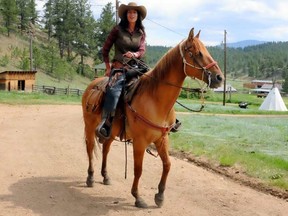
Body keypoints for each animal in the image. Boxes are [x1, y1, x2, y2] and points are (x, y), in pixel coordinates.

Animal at [82, 27, 224, 208]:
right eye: (197, 53)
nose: (219, 78)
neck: (155, 100)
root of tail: (92, 85)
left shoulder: (162, 139)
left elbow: (167, 164)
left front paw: (160, 195)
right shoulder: (140, 142)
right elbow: (138, 169)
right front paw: (138, 197)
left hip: (111, 131)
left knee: (106, 148)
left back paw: (105, 176)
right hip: (89, 126)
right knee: (90, 148)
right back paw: (91, 177)